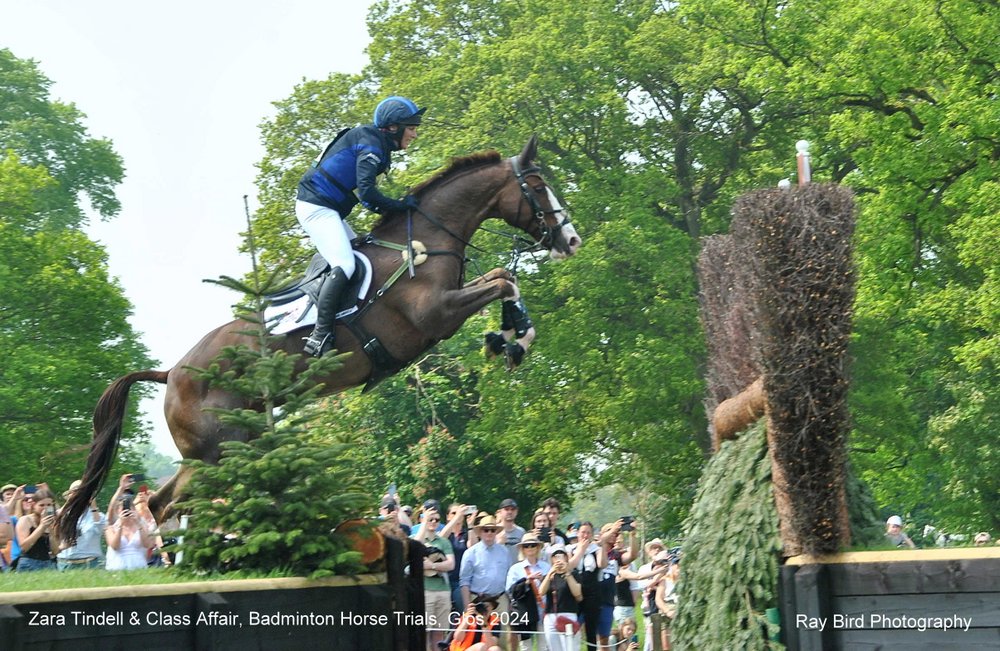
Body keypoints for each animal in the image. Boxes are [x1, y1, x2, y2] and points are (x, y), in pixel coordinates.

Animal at [58, 136, 581, 538]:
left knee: (165, 504)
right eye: (538, 187)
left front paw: (512, 337)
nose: (571, 240)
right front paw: (511, 340)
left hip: (229, 446)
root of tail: (172, 373)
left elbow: (503, 278)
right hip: (217, 450)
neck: (426, 242)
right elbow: (503, 281)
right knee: (172, 506)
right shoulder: (434, 315)